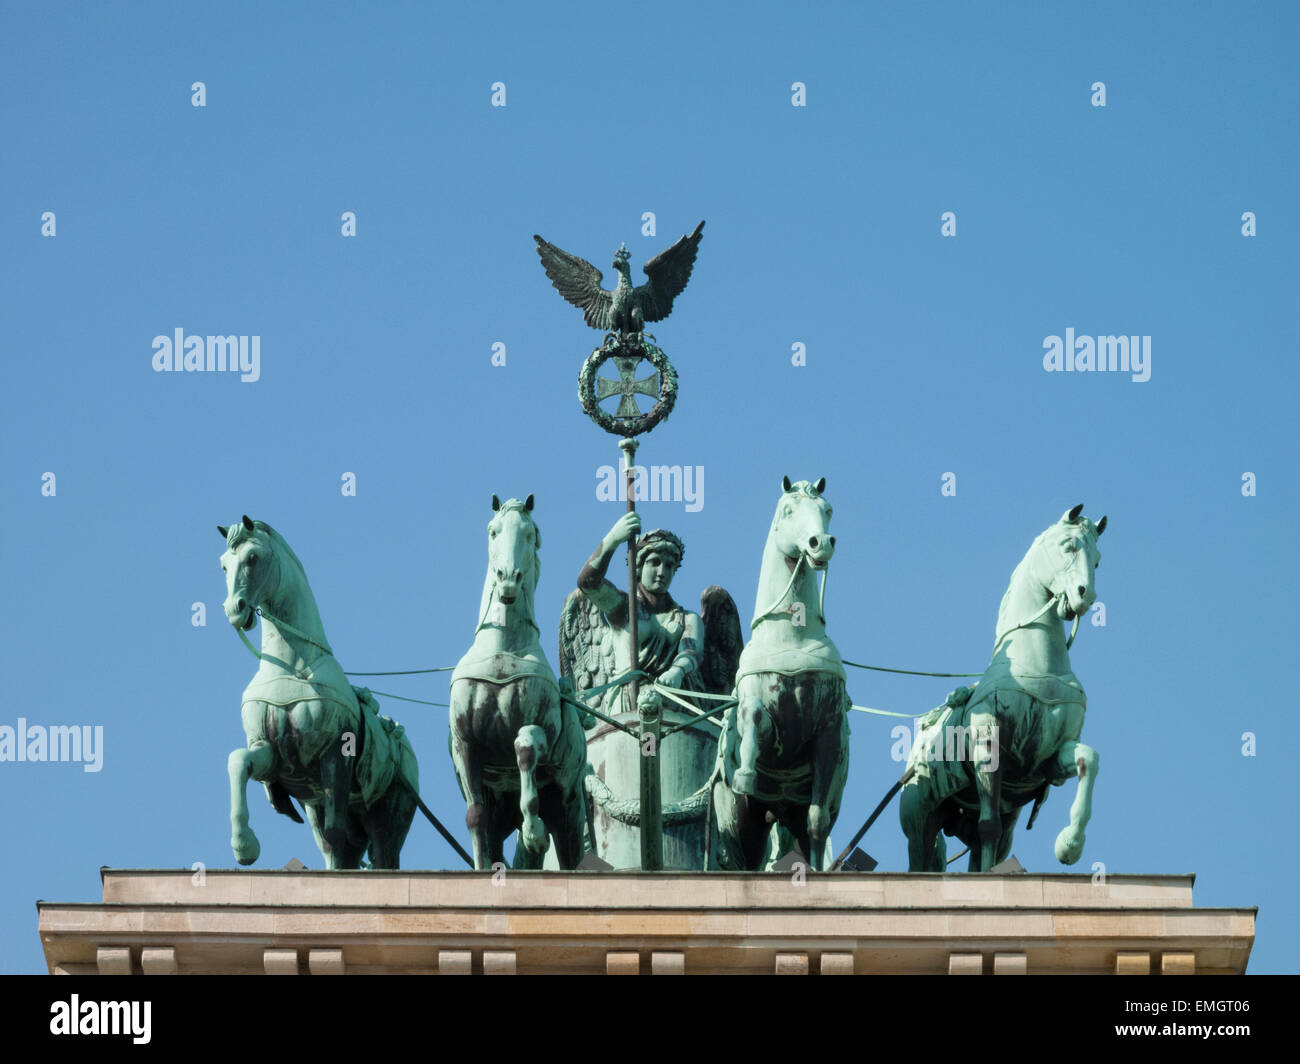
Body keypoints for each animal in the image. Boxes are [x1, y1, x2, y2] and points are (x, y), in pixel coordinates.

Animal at [220, 515, 418, 868]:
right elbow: (238, 760)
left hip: (389, 818)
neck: (290, 666)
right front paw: (244, 845)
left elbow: (335, 835)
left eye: (253, 558)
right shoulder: (270, 753)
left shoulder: (335, 755)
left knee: (381, 853)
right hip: (324, 808)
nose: (234, 609)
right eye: (223, 565)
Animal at [449, 494, 587, 868]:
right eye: (493, 531)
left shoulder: (542, 729)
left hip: (569, 808)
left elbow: (524, 747)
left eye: (530, 533)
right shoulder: (465, 744)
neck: (503, 647)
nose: (508, 578)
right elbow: (475, 816)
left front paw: (534, 833)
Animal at [712, 476, 852, 868]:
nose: (821, 543)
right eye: (788, 510)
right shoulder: (763, 711)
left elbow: (817, 822)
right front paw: (744, 773)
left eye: (827, 510)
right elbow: (752, 716)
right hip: (740, 822)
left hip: (789, 813)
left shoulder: (828, 731)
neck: (792, 635)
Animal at [904, 504, 1107, 868]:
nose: (1085, 596)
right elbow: (989, 827)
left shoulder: (1052, 757)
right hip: (919, 818)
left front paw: (1070, 844)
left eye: (1097, 560)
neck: (1038, 662)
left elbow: (1090, 759)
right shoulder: (987, 743)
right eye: (1068, 546)